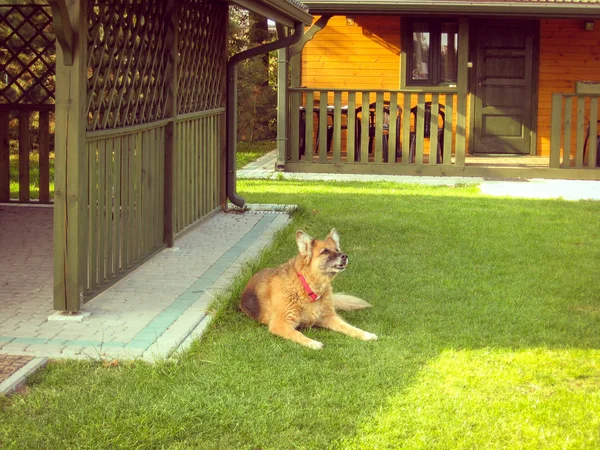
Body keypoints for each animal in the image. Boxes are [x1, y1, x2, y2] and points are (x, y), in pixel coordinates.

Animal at [239, 227, 376, 350]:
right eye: (325, 251)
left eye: (337, 249)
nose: (345, 256)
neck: (308, 287)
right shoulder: (280, 324)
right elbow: (297, 333)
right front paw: (313, 343)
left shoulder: (329, 317)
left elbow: (349, 327)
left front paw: (365, 334)